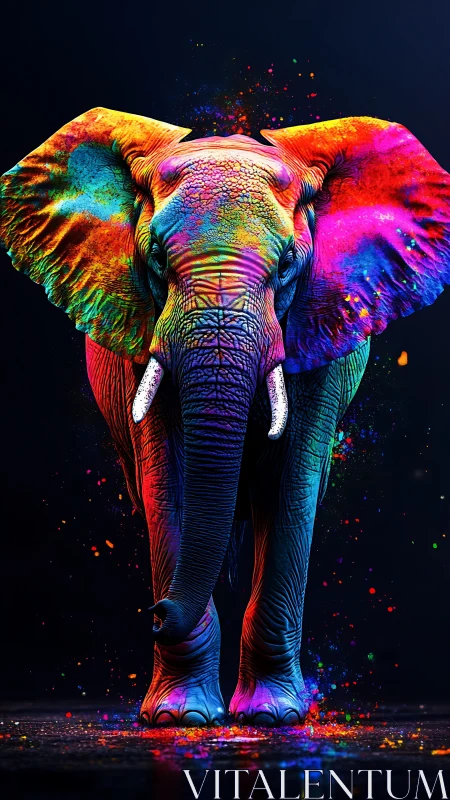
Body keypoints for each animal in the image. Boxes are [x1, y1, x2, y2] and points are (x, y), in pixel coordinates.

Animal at [1, 108, 450, 726]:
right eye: (156, 260)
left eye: (287, 266)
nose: (157, 611)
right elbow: (167, 480)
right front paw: (180, 720)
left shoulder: (319, 328)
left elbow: (291, 485)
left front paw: (271, 718)